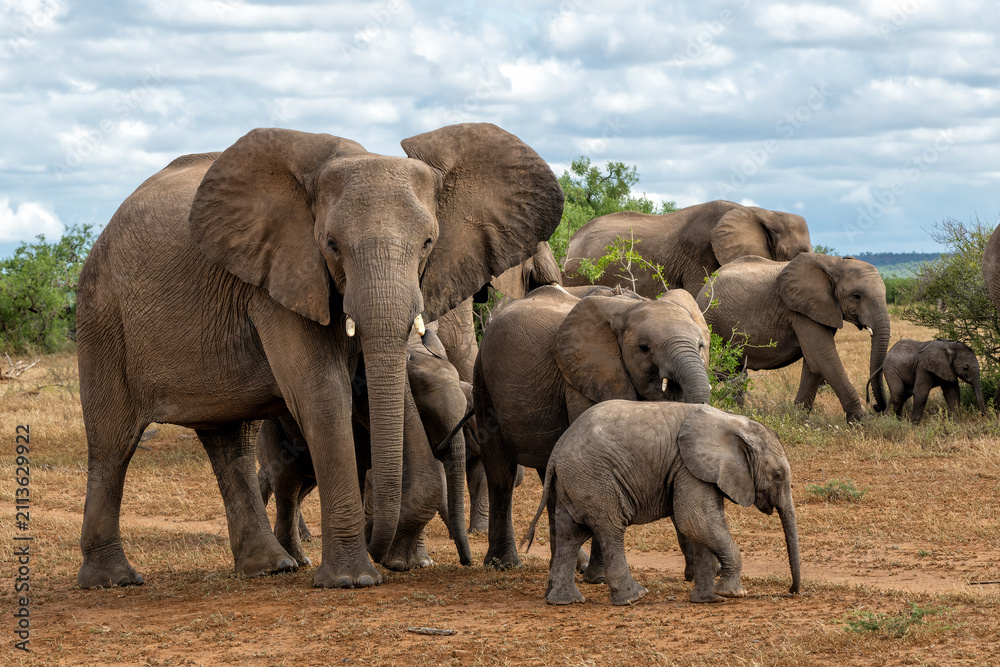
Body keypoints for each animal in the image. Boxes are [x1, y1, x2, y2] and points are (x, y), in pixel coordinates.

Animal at [257, 327, 473, 571]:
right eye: (423, 414)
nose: (466, 561)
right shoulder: (355, 419)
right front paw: (393, 559)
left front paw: (420, 563)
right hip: (273, 430)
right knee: (288, 483)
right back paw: (295, 560)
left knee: (302, 487)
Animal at [474, 284, 713, 569]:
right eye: (644, 348)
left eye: (701, 346)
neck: (630, 307)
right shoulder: (584, 378)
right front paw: (599, 575)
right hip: (483, 379)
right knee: (500, 473)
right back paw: (503, 563)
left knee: (549, 477)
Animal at [522, 401, 801, 605]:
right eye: (777, 475)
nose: (792, 591)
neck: (732, 422)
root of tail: (556, 452)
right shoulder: (689, 467)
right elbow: (695, 521)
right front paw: (732, 594)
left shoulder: (697, 471)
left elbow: (698, 527)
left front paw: (707, 600)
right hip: (594, 478)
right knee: (611, 528)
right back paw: (634, 597)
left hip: (573, 482)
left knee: (570, 534)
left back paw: (564, 601)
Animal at [695, 254, 890, 422]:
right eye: (856, 296)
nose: (876, 406)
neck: (834, 263)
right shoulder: (801, 311)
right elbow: (823, 358)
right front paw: (861, 421)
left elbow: (813, 363)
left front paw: (799, 419)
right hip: (712, 320)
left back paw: (736, 411)